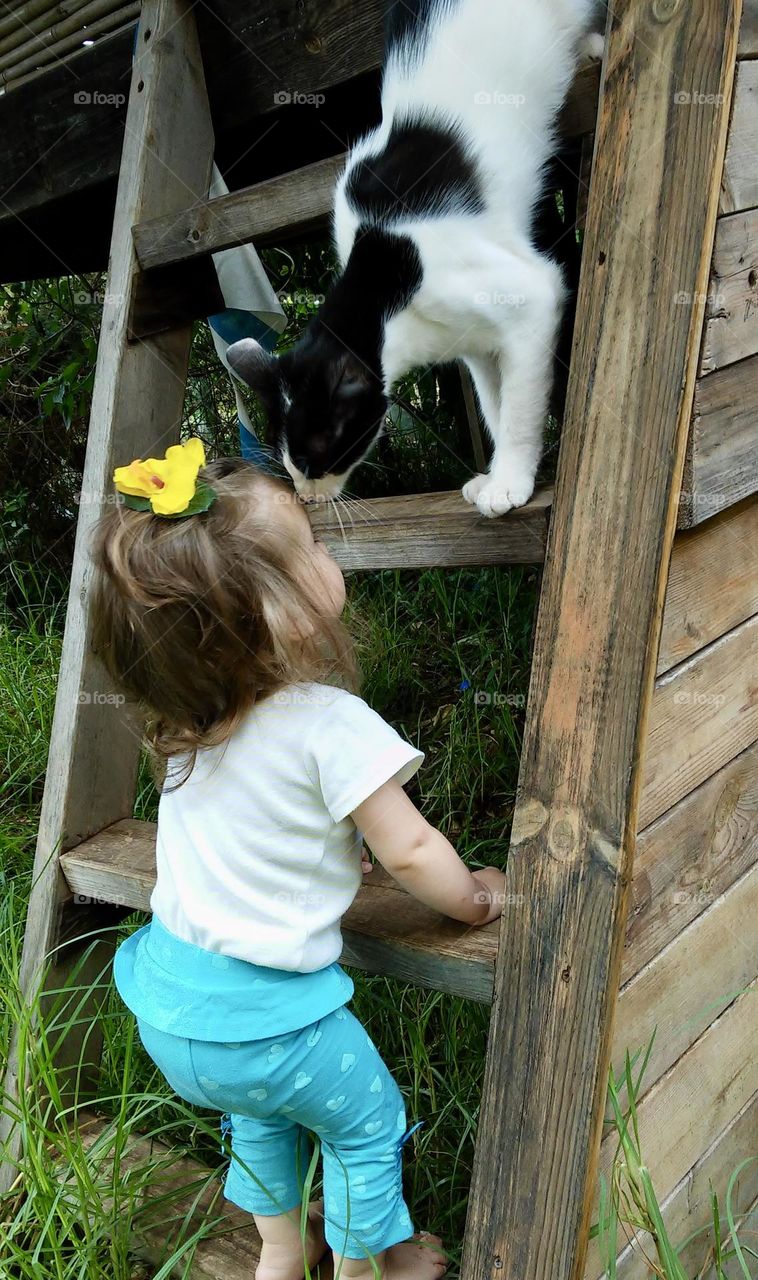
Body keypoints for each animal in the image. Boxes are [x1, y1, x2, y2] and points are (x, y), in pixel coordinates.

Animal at [227, 2, 606, 519]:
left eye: (313, 459)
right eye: (287, 462)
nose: (305, 496)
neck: (383, 291)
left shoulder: (530, 294)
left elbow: (519, 406)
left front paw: (509, 480)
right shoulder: (477, 343)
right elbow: (494, 403)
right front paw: (494, 474)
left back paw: (594, 44)